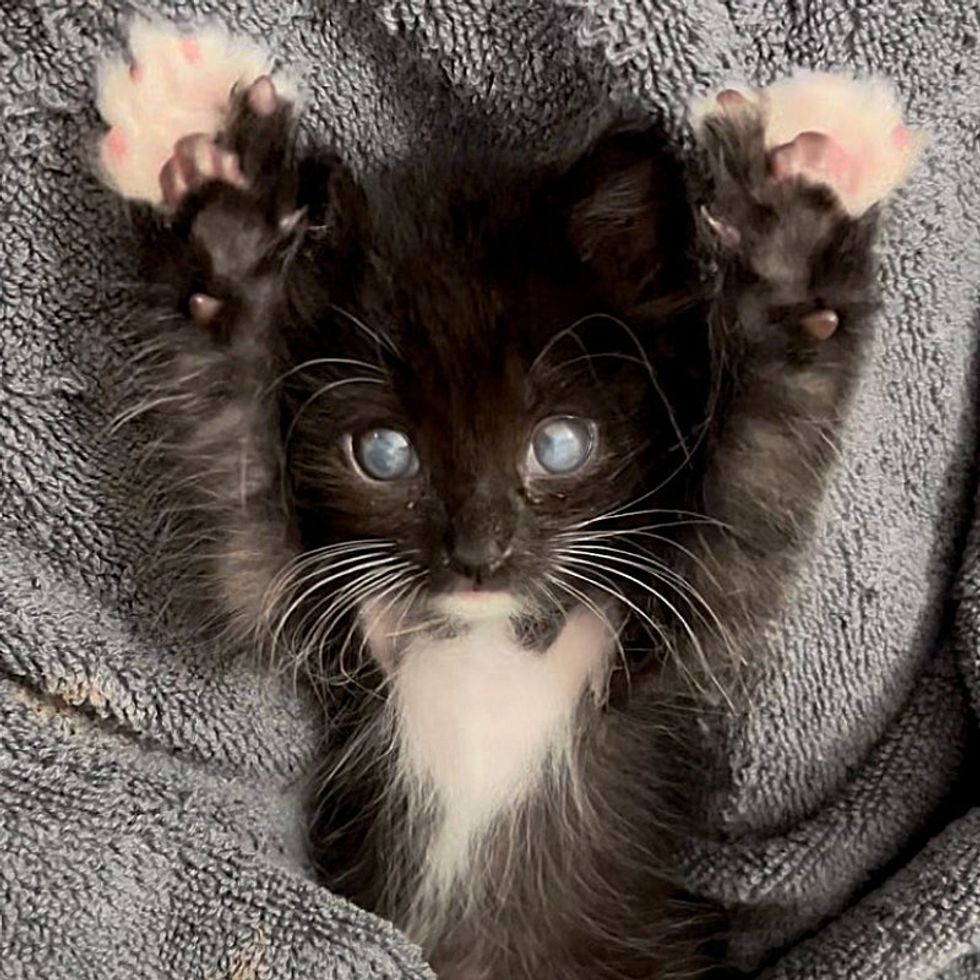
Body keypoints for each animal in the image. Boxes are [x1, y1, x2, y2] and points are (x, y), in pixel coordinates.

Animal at [97, 23, 920, 980]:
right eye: (385, 455)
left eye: (560, 445)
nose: (478, 554)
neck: (489, 640)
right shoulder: (312, 614)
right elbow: (229, 474)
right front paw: (208, 178)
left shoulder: (673, 630)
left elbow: (763, 474)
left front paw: (802, 210)